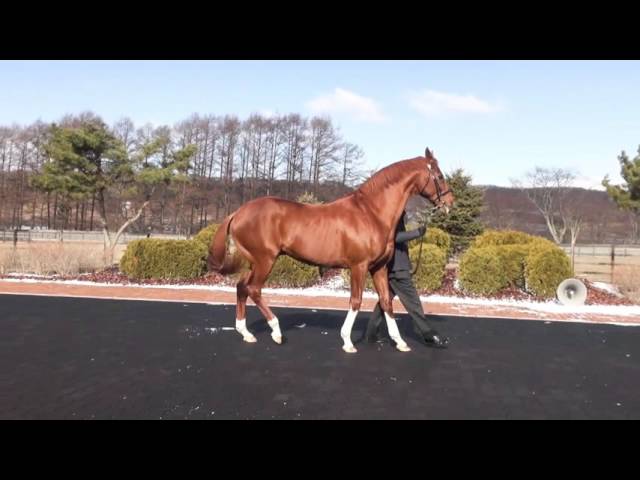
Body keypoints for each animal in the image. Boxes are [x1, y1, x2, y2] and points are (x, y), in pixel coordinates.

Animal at [207, 148, 455, 353]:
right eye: (440, 176)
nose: (450, 202)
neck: (371, 213)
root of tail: (238, 212)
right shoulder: (359, 267)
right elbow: (356, 301)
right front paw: (347, 342)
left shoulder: (379, 268)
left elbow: (386, 301)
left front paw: (400, 342)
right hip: (265, 261)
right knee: (254, 289)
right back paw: (276, 332)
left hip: (255, 262)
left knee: (242, 287)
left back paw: (246, 333)